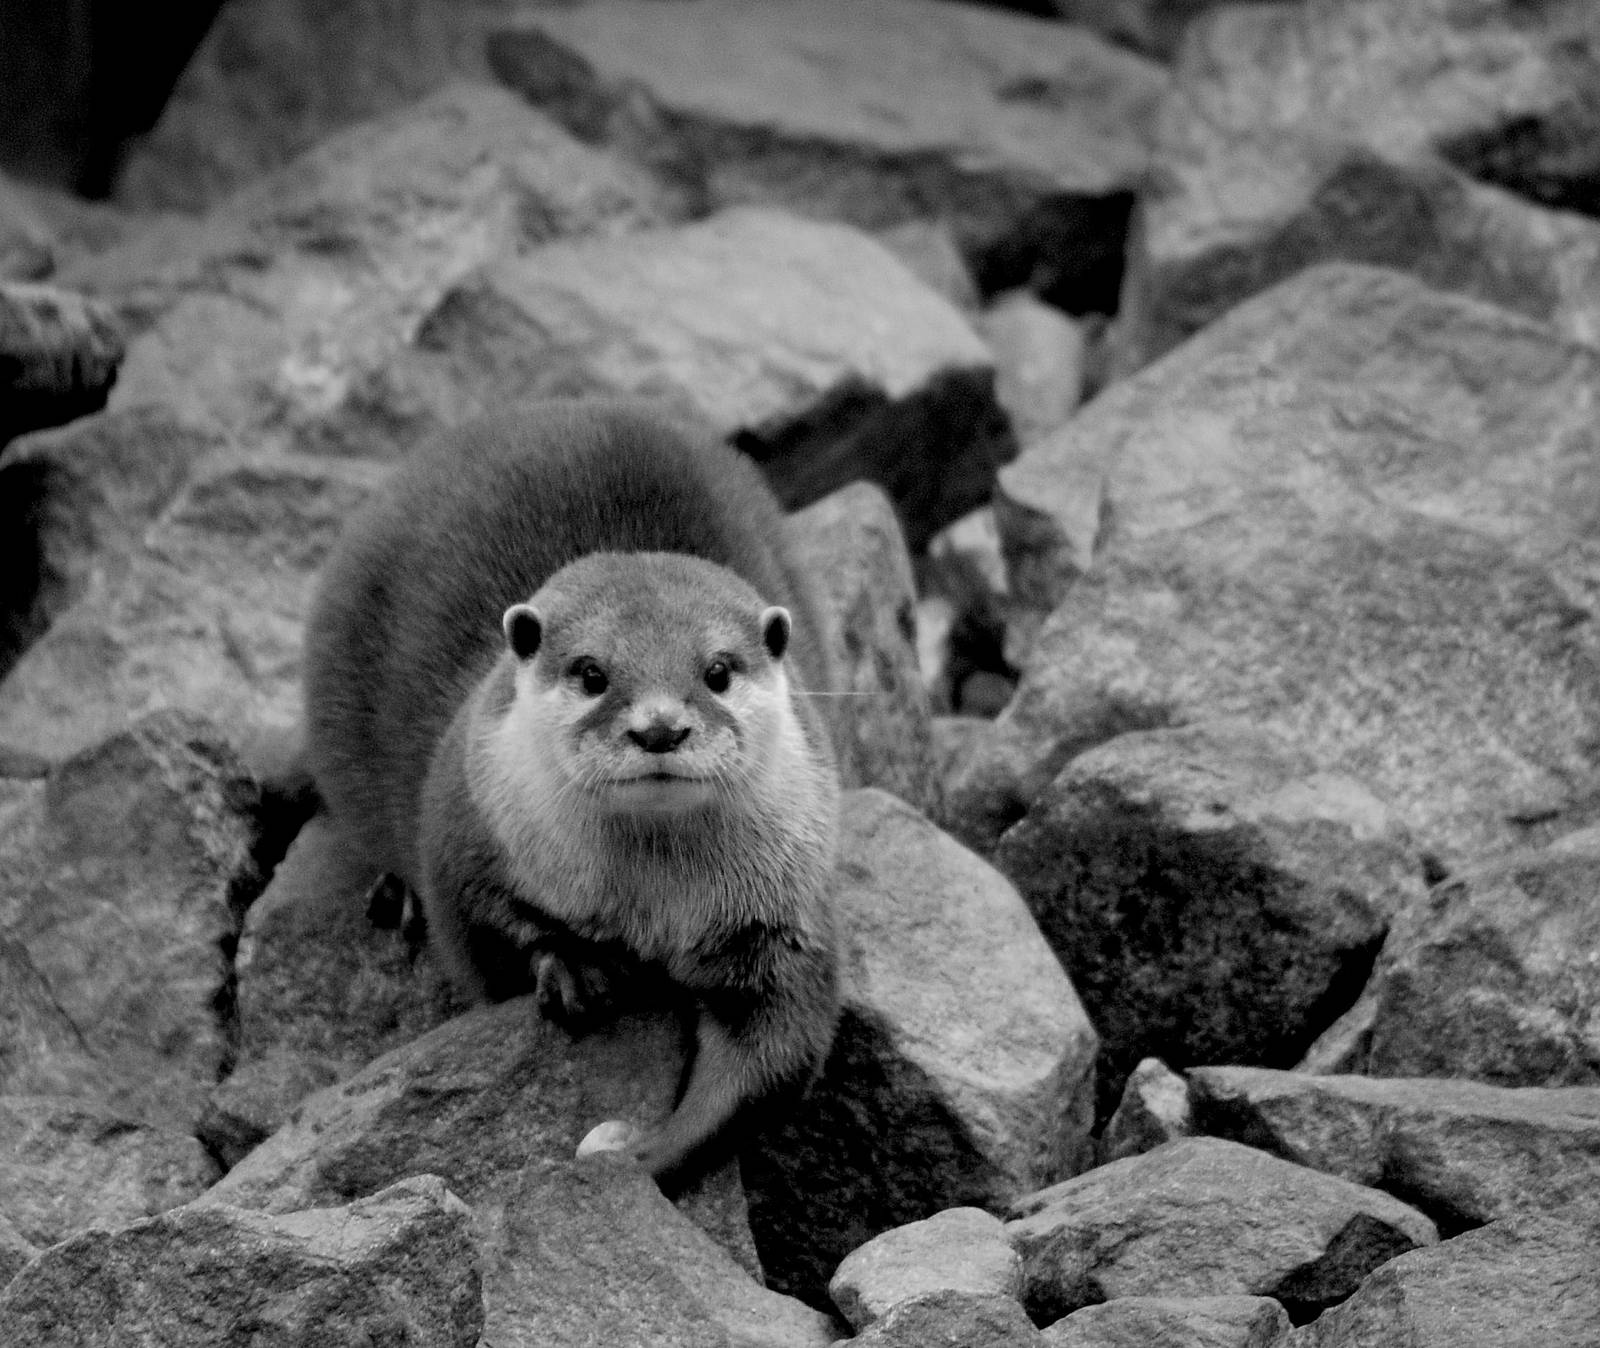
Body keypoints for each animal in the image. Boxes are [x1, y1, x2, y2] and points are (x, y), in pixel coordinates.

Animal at [302, 399, 841, 1180]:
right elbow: (479, 928)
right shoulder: (470, 823)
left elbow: (777, 1044)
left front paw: (643, 1150)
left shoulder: (784, 909)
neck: (651, 902)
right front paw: (576, 964)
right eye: (592, 673)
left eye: (717, 671)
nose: (659, 727)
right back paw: (395, 895)